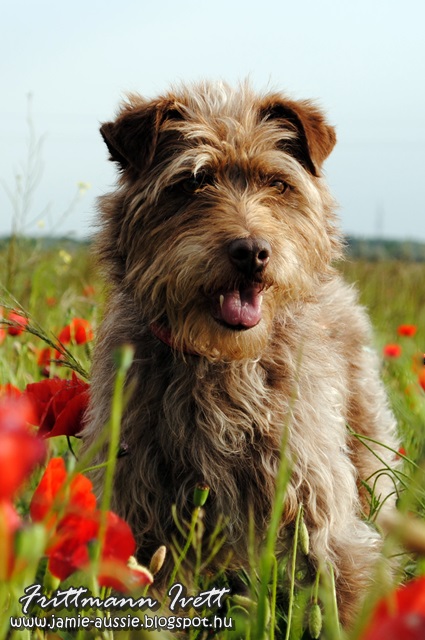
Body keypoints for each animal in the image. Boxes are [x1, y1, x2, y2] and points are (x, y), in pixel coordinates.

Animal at [83, 81, 398, 627]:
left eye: (277, 183)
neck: (220, 361)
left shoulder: (322, 514)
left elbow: (344, 593)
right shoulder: (145, 519)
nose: (251, 251)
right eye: (191, 183)